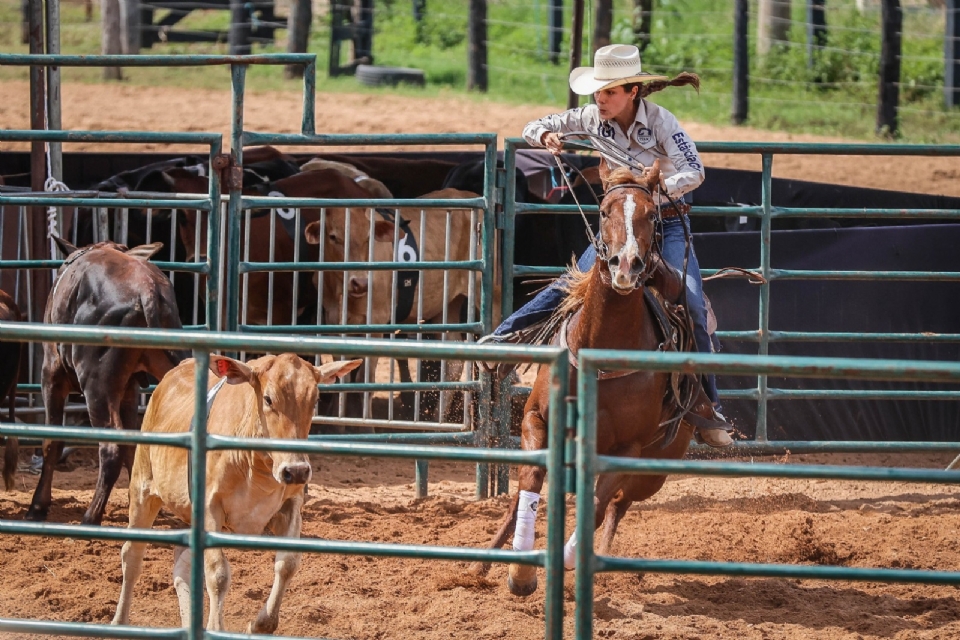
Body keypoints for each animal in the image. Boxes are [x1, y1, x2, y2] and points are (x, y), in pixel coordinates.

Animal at [473, 162, 719, 596]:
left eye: (652, 215)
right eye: (604, 211)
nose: (626, 265)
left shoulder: (628, 448)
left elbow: (597, 503)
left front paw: (569, 560)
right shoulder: (536, 419)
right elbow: (530, 481)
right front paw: (520, 572)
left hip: (654, 469)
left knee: (618, 503)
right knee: (521, 497)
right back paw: (482, 565)